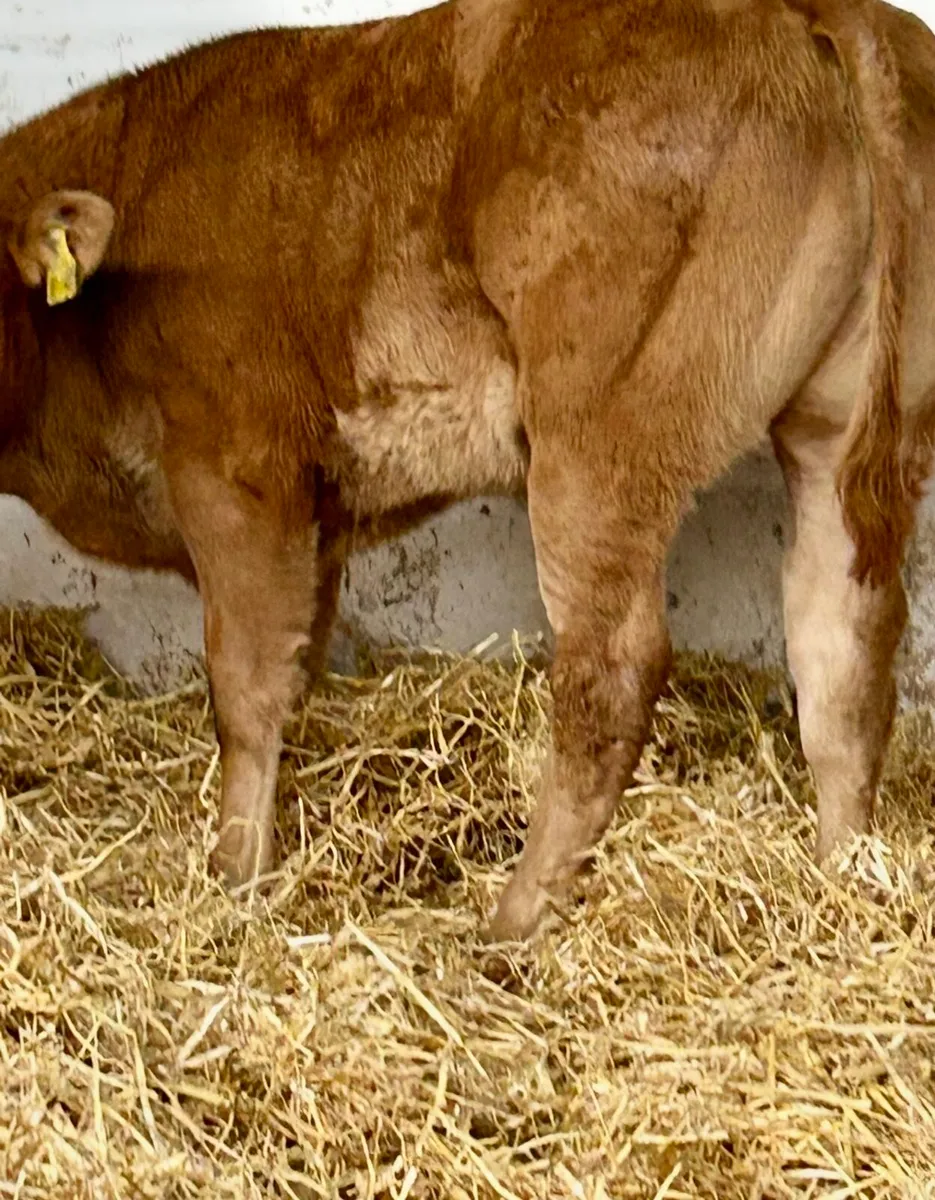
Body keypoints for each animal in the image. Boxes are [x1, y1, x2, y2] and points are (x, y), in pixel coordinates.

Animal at [0, 0, 926, 942]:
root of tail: (810, 15)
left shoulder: (233, 462)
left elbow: (246, 686)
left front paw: (232, 878)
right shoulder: (314, 508)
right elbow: (297, 666)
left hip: (596, 438)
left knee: (611, 673)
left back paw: (513, 923)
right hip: (837, 430)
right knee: (840, 651)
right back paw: (839, 883)